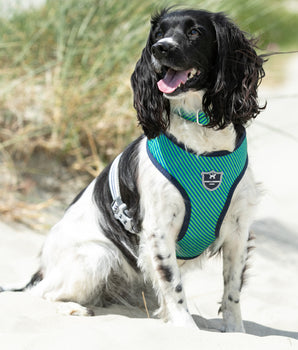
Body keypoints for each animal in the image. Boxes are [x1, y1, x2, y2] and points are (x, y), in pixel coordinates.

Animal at [1, 7, 264, 330]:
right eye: (158, 33)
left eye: (195, 32)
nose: (160, 48)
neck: (203, 143)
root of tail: (41, 270)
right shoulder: (159, 230)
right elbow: (174, 286)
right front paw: (188, 331)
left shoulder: (238, 229)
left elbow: (232, 291)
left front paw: (235, 331)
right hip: (97, 256)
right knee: (46, 294)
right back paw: (74, 308)